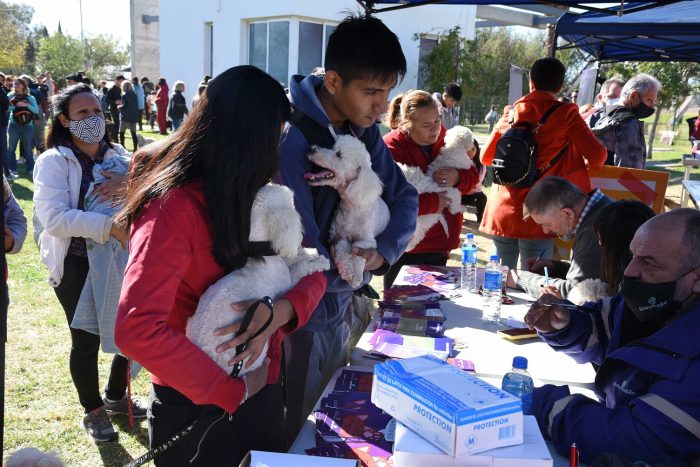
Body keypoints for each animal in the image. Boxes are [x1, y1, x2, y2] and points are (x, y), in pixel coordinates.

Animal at [185, 184, 330, 376]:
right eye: (291, 200)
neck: (264, 254)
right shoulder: (287, 282)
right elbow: (299, 268)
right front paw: (320, 262)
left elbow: (293, 258)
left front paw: (310, 253)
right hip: (255, 353)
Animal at [306, 135, 392, 288]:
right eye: (332, 147)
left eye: (339, 155)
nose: (311, 148)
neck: (353, 207)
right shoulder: (339, 236)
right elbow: (343, 251)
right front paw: (348, 273)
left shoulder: (367, 241)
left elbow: (357, 253)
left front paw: (356, 275)